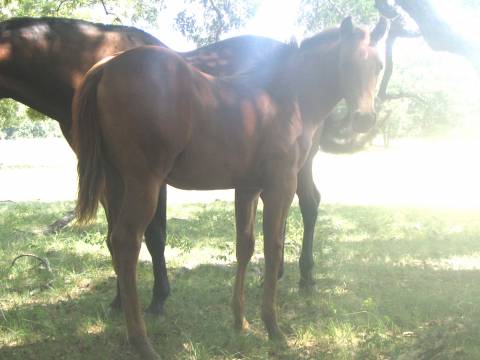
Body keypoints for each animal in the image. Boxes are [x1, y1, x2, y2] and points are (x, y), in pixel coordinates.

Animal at [72, 17, 386, 360]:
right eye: (345, 63)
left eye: (379, 66)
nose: (364, 119)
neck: (285, 96)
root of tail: (108, 66)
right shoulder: (280, 185)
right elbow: (273, 247)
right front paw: (273, 327)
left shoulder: (247, 188)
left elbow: (244, 246)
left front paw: (240, 320)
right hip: (144, 183)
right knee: (127, 241)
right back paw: (142, 342)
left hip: (116, 182)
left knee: (115, 242)